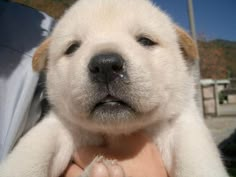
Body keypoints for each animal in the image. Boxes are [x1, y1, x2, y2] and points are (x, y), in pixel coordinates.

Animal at [0, 0, 229, 177]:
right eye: (73, 48)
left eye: (145, 41)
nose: (105, 65)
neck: (116, 132)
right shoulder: (57, 127)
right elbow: (29, 157)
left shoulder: (183, 129)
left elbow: (197, 164)